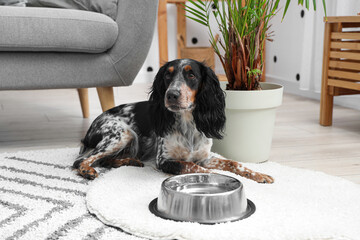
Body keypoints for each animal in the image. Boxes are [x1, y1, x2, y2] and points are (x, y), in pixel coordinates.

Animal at [73, 59, 272, 183]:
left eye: (191, 75)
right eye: (167, 75)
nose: (172, 94)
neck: (188, 125)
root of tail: (91, 127)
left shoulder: (204, 158)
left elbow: (233, 163)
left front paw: (259, 174)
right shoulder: (165, 160)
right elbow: (192, 166)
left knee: (104, 160)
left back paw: (131, 161)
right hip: (122, 134)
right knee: (82, 160)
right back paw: (88, 170)